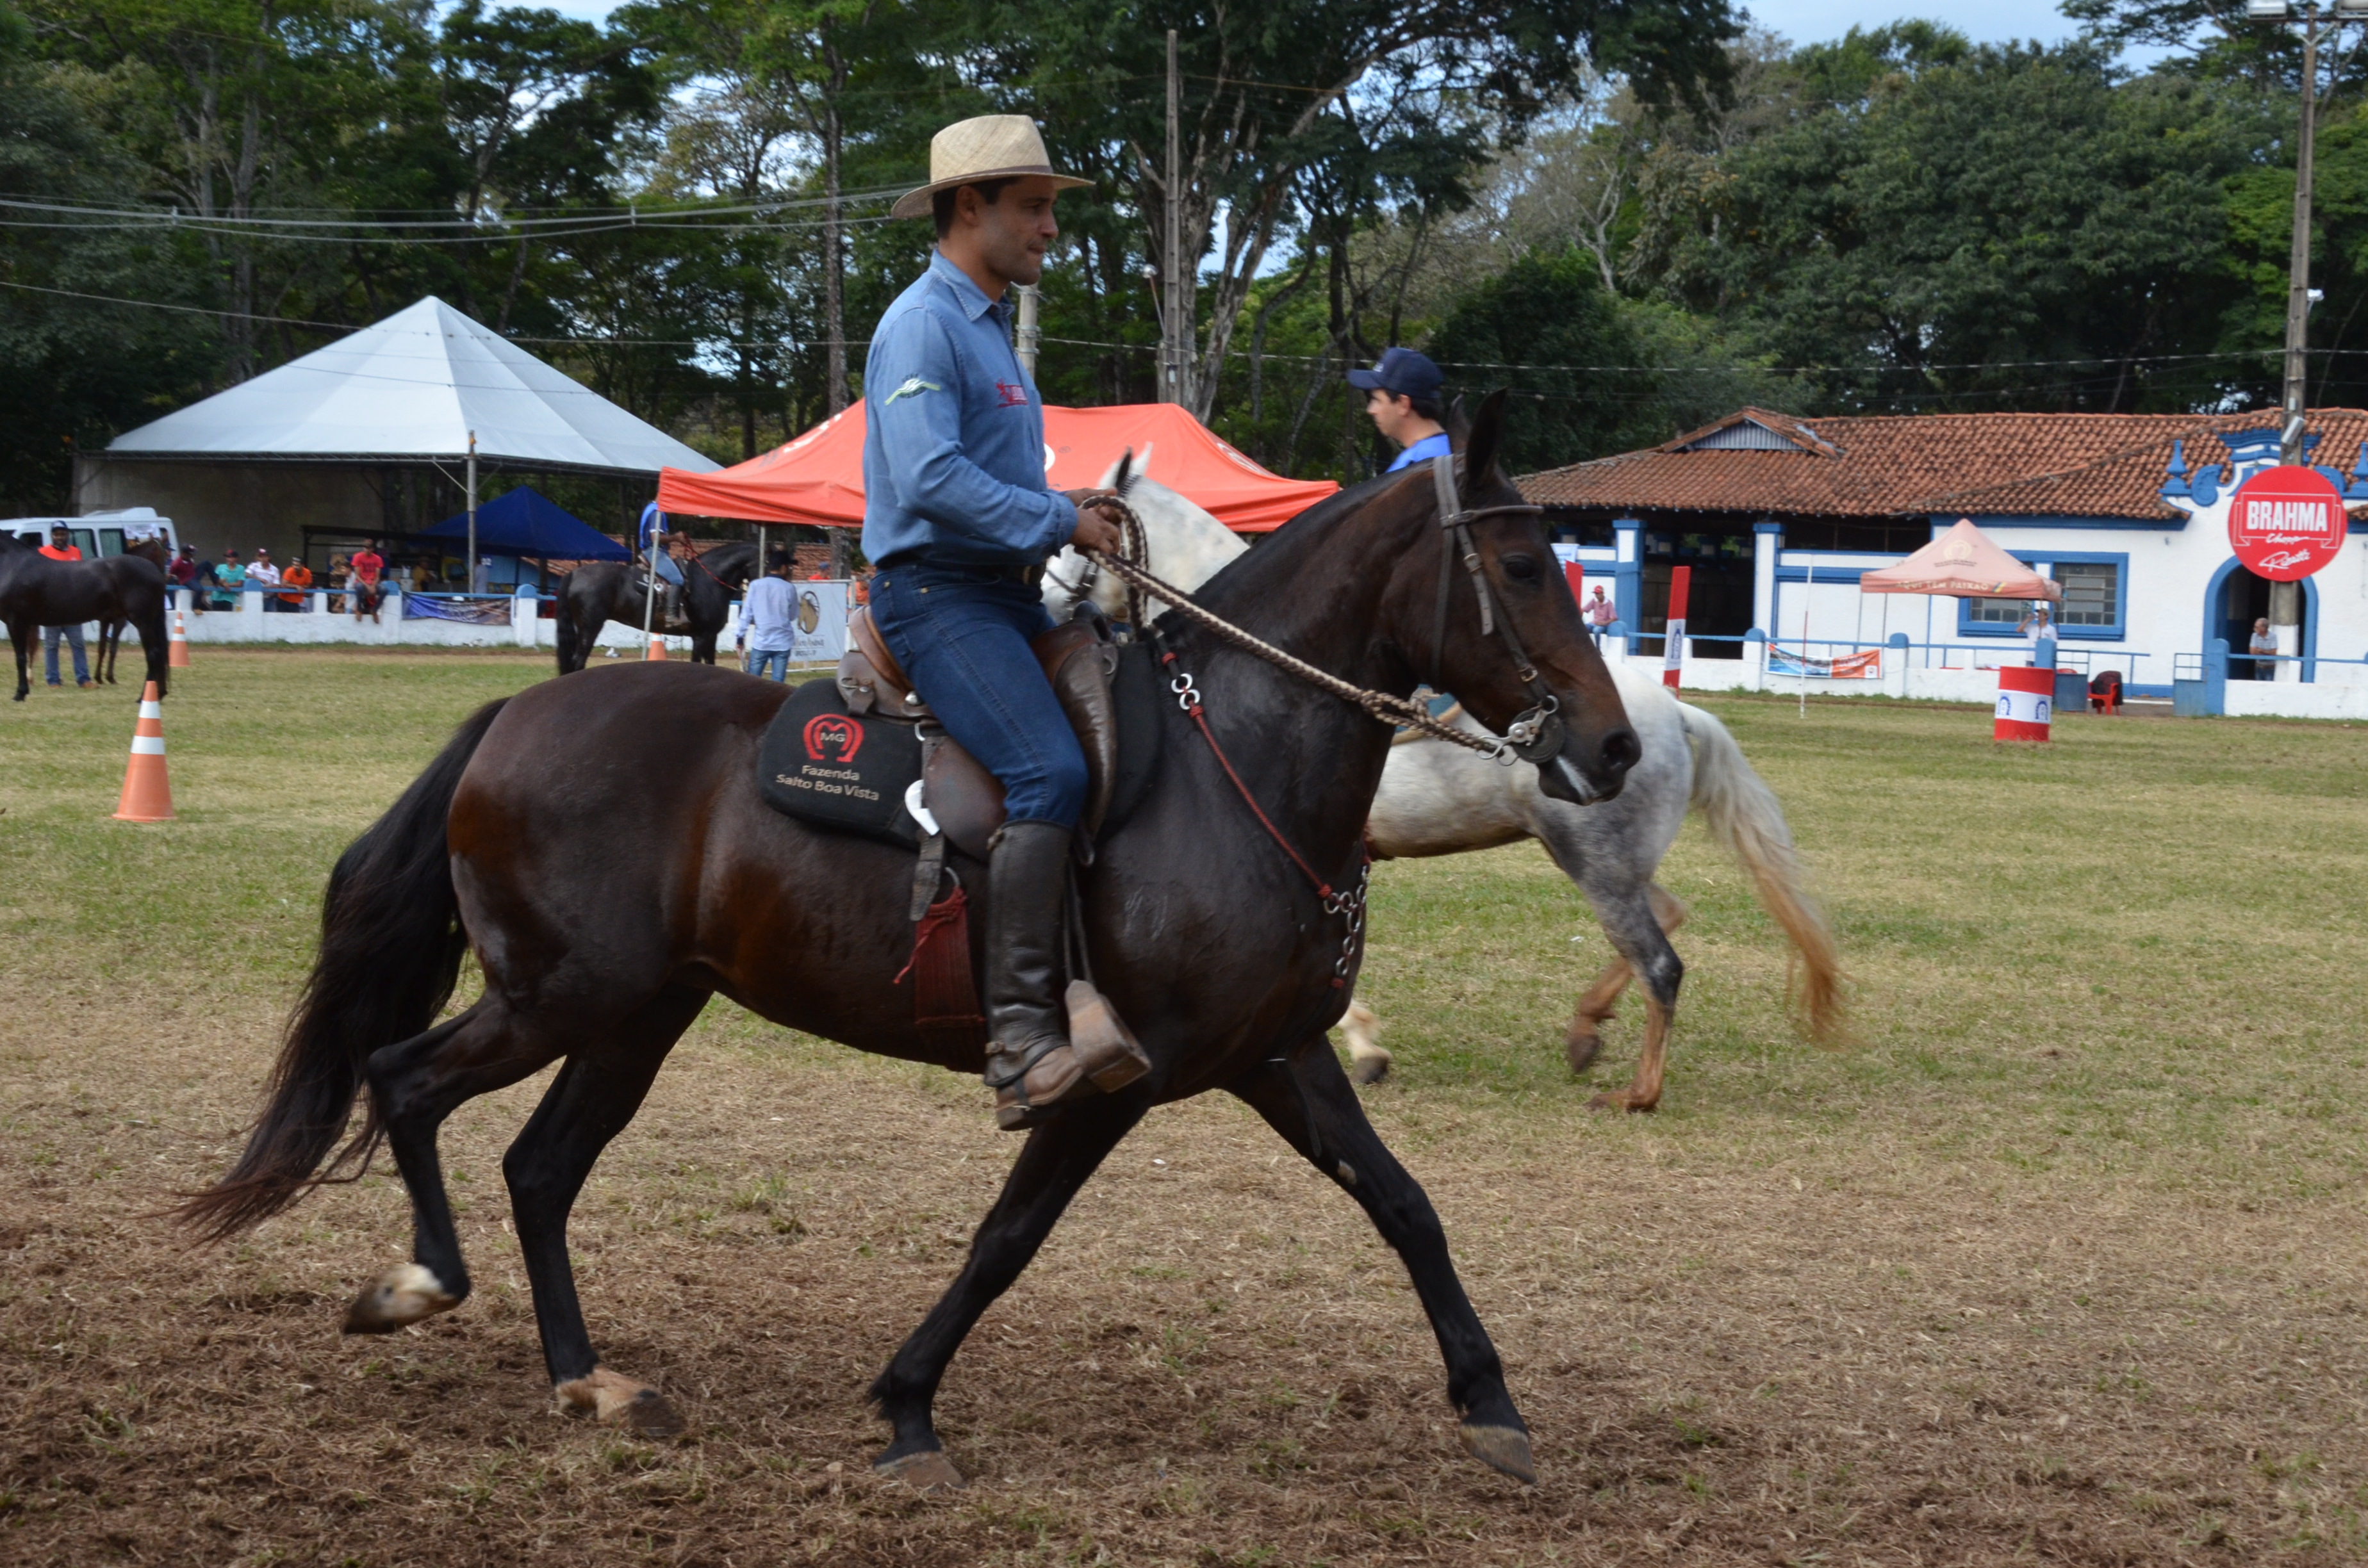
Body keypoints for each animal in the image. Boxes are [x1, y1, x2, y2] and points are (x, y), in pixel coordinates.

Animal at [0, 537, 169, 701]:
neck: (13, 565)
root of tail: (154, 571)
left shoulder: (16, 622)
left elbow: (20, 658)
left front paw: (20, 693)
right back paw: (159, 693)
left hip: (143, 622)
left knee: (152, 655)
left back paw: (143, 698)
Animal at [549, 540, 753, 677]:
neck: (708, 580)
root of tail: (574, 574)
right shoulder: (701, 636)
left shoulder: (711, 636)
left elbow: (711, 663)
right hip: (590, 627)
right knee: (578, 661)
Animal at [1056, 462, 1846, 1113]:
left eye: (1074, 546)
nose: (1041, 599)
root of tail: (1674, 714)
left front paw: (1365, 1047)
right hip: (1609, 863)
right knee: (1668, 916)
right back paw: (1587, 1029)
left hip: (1596, 865)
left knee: (1659, 963)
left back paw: (1637, 1091)